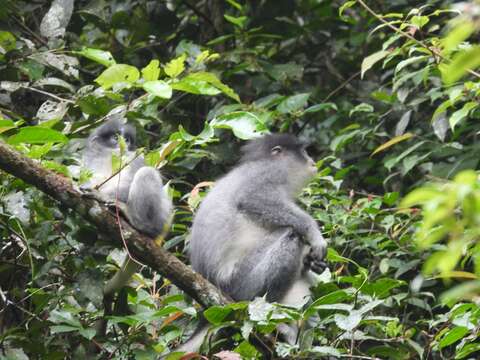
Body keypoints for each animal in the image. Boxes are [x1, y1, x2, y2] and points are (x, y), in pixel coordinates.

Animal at [81, 118, 172, 296]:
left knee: (146, 172)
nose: (123, 143)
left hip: (159, 217)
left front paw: (101, 195)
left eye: (127, 139)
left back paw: (136, 221)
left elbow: (129, 180)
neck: (109, 156)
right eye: (115, 137)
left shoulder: (133, 158)